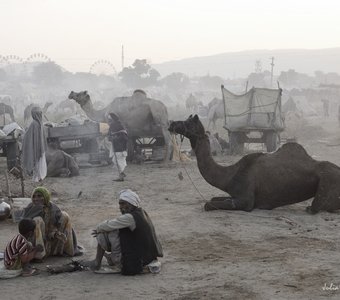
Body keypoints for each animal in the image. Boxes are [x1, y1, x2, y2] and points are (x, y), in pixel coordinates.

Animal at [169, 113, 340, 214]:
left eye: (189, 122)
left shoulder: (246, 200)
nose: (171, 124)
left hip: (327, 183)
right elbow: (213, 199)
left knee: (314, 208)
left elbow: (209, 204)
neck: (229, 175)